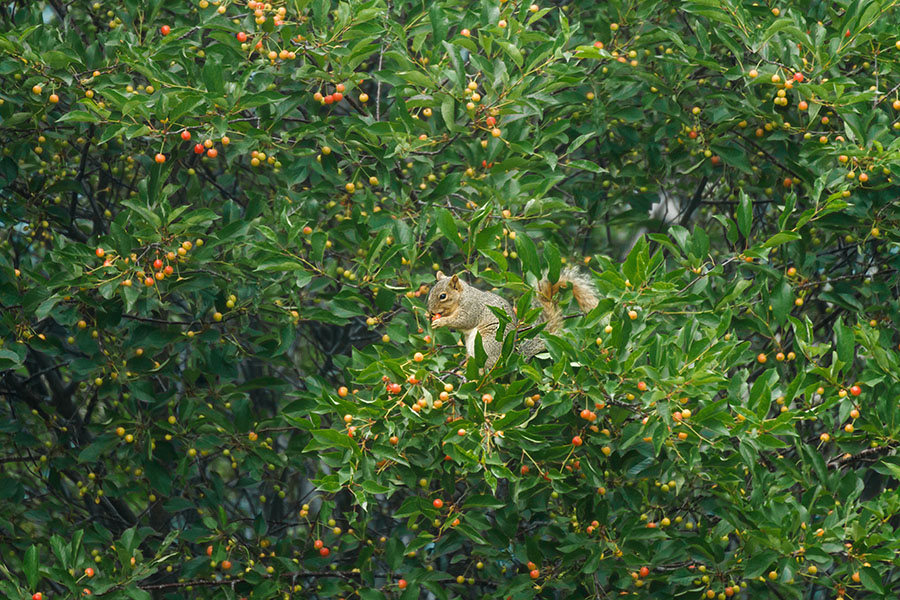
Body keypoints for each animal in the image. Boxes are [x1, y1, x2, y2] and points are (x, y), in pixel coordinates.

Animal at [424, 268, 596, 370]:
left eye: (443, 296)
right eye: (430, 292)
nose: (431, 311)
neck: (461, 297)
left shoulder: (472, 308)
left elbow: (463, 320)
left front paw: (441, 321)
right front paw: (428, 316)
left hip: (486, 343)